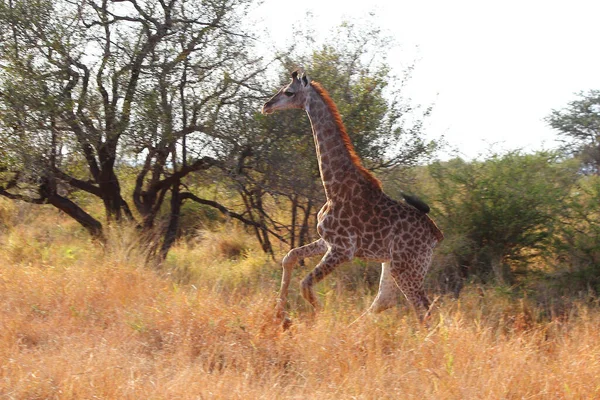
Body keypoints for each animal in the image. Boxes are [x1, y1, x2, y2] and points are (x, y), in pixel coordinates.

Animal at [260, 69, 442, 324]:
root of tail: (436, 234)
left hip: (407, 266)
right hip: (392, 264)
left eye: (289, 92)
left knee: (422, 308)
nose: (266, 105)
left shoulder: (342, 249)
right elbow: (290, 257)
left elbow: (305, 284)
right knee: (385, 300)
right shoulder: (326, 241)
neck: (333, 186)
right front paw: (281, 316)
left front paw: (318, 319)